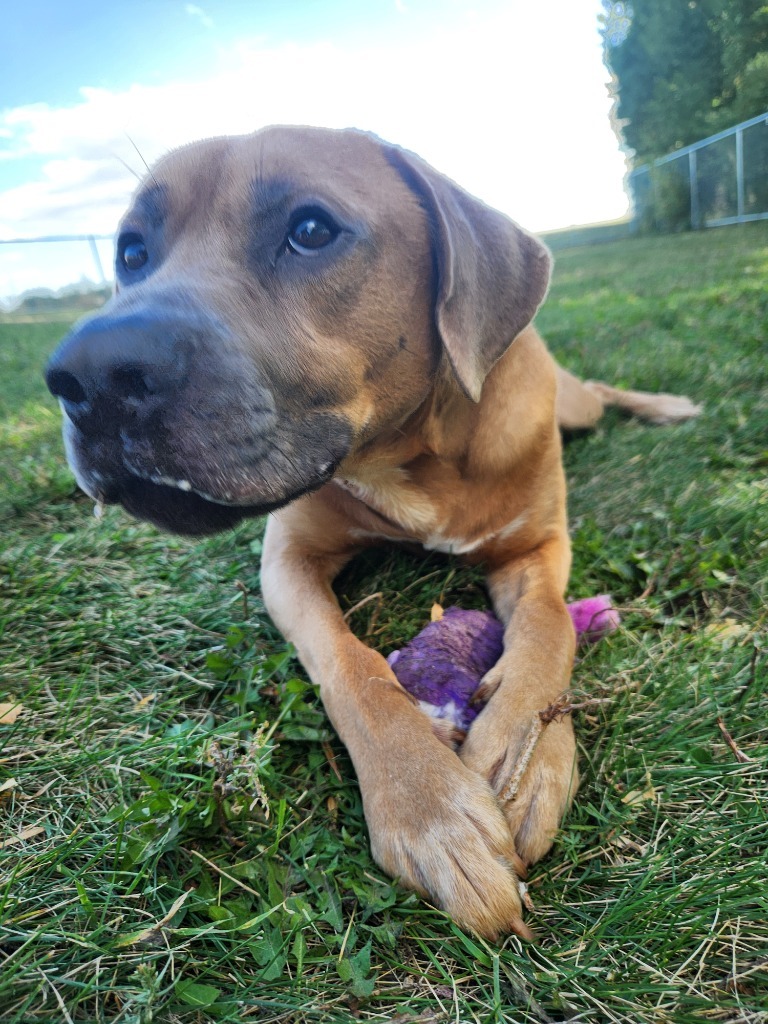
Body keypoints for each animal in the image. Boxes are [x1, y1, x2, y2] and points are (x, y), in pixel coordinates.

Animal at [43, 123, 704, 937]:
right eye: (132, 251)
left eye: (311, 230)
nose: (88, 376)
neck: (411, 454)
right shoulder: (287, 559)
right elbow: (352, 665)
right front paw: (430, 808)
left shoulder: (536, 545)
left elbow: (551, 625)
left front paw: (525, 755)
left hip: (570, 404)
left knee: (600, 393)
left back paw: (663, 405)